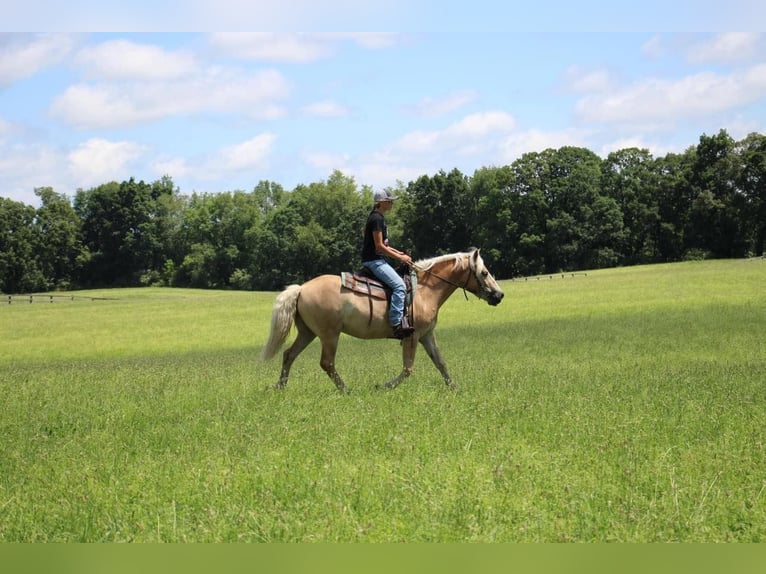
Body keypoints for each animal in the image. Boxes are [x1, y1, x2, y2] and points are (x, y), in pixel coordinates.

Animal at [260, 248, 508, 392]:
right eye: (484, 273)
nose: (499, 295)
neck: (425, 290)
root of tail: (301, 288)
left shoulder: (427, 335)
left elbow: (440, 362)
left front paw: (454, 388)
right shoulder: (412, 336)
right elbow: (408, 369)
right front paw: (383, 386)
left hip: (308, 333)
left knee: (289, 355)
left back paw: (280, 387)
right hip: (329, 335)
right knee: (327, 363)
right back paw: (346, 390)